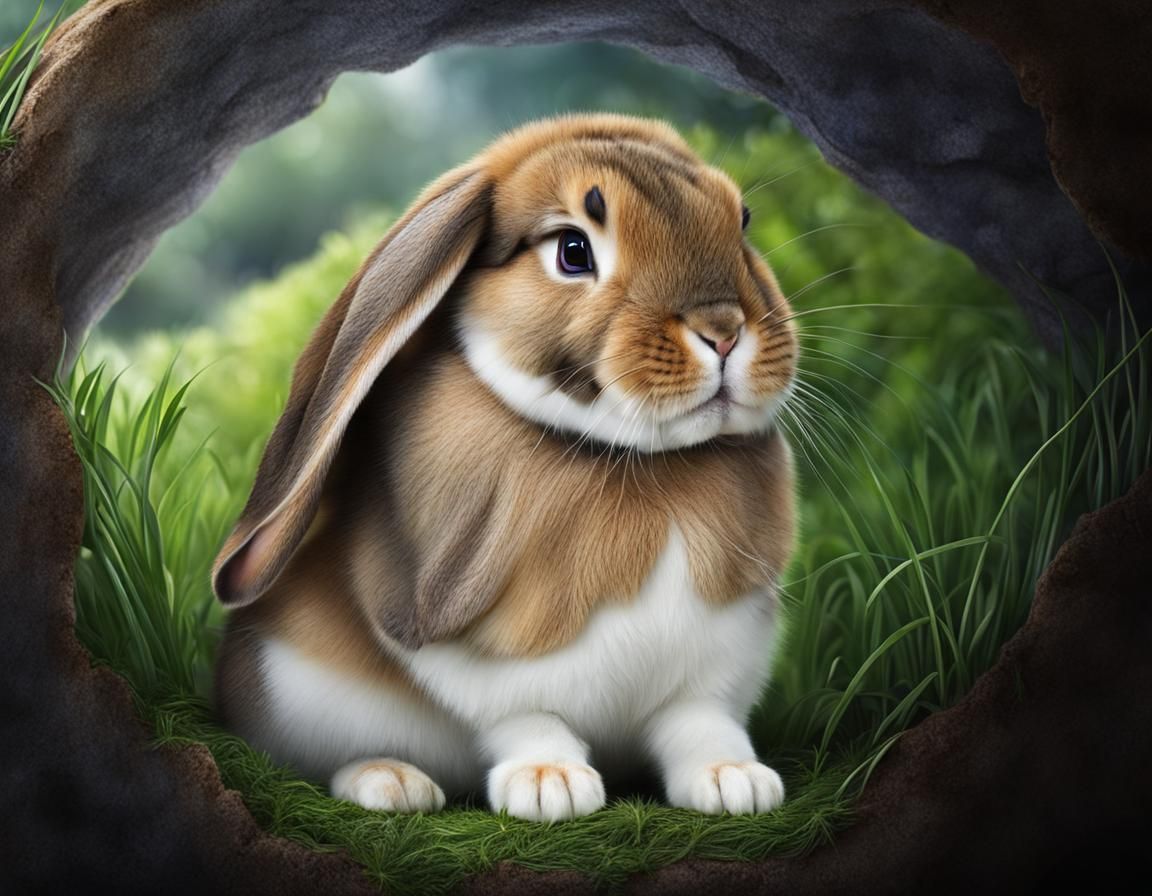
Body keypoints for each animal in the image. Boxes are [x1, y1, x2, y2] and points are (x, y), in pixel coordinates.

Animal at [211, 114, 798, 822]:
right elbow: (527, 717)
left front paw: (735, 780)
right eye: (573, 251)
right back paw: (391, 782)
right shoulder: (468, 650)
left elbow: (700, 722)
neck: (635, 465)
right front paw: (551, 784)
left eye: (741, 220)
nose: (724, 330)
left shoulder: (711, 670)